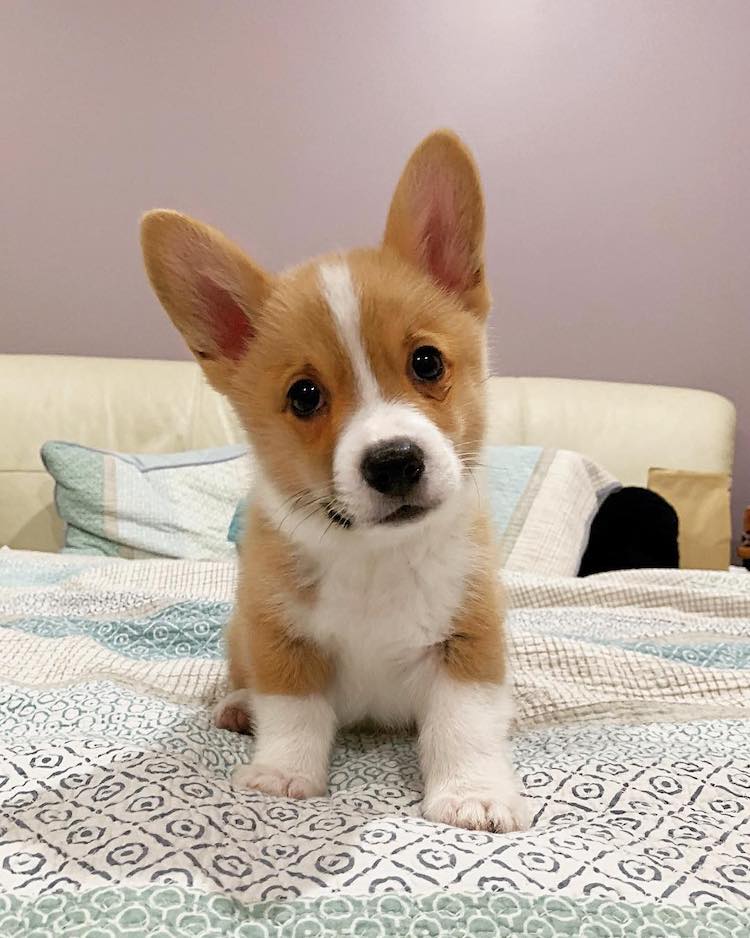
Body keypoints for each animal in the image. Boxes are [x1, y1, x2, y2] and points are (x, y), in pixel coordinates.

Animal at [142, 128, 528, 828]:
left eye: (427, 362)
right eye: (304, 396)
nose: (395, 460)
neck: (375, 554)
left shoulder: (469, 639)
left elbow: (464, 724)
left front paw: (473, 794)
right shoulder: (278, 636)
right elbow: (293, 715)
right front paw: (282, 778)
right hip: (237, 634)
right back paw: (237, 705)